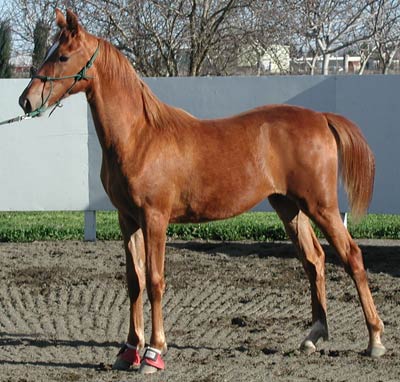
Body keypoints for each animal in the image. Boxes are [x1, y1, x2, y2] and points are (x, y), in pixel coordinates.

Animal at [18, 8, 384, 374]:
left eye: (63, 56)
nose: (26, 100)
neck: (140, 137)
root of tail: (321, 118)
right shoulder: (127, 219)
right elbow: (134, 281)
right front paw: (129, 350)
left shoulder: (155, 219)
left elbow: (154, 280)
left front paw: (153, 353)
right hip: (288, 206)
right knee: (314, 260)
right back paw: (314, 335)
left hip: (320, 205)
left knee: (352, 256)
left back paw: (375, 340)